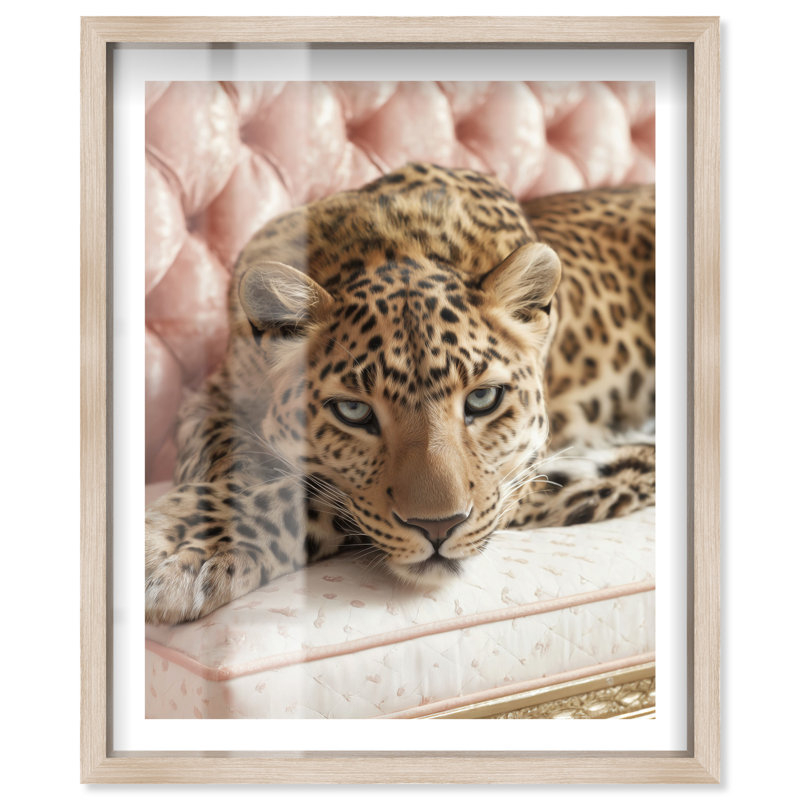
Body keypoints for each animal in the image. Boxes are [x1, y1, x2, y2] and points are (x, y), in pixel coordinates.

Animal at [145, 162, 655, 626]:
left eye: (482, 400)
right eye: (353, 411)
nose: (439, 526)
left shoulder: (523, 476)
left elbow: (313, 496)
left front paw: (186, 549)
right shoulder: (210, 397)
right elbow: (229, 458)